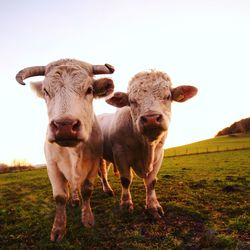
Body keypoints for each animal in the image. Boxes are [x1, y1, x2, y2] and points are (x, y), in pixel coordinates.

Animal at [16, 58, 115, 240]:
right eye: (46, 91)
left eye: (89, 90)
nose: (65, 126)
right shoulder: (52, 166)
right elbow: (60, 197)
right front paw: (58, 228)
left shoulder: (93, 163)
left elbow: (87, 190)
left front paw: (87, 218)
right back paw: (74, 200)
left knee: (102, 174)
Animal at [97, 70, 197, 219]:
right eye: (131, 101)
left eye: (168, 96)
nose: (151, 119)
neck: (145, 146)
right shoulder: (120, 153)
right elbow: (125, 180)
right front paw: (126, 204)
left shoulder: (159, 154)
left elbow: (151, 182)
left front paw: (153, 206)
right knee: (102, 172)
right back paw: (107, 189)